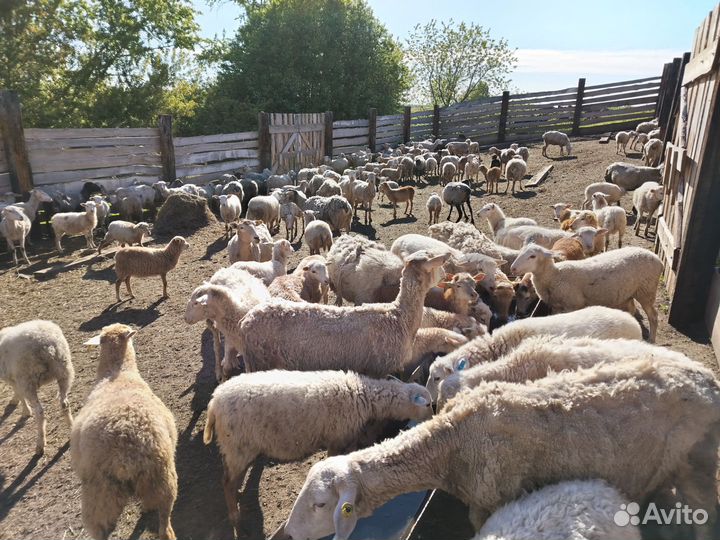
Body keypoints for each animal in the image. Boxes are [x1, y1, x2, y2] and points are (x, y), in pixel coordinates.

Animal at [0, 320, 73, 455]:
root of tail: (47, 345)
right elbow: (18, 393)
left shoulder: (15, 379)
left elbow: (19, 394)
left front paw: (25, 410)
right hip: (64, 370)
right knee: (64, 404)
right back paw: (72, 428)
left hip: (27, 380)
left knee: (40, 412)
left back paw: (40, 444)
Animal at [203, 370, 432, 531]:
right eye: (428, 403)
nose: (434, 414)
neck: (363, 395)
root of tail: (214, 402)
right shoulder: (336, 438)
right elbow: (332, 460)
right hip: (237, 446)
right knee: (227, 482)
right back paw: (235, 516)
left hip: (239, 446)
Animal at [240, 251, 449, 376]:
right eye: (434, 262)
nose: (447, 270)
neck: (400, 318)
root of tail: (245, 321)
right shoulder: (381, 369)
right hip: (260, 361)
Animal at [511, 244, 661, 341]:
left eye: (532, 256)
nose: (512, 268)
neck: (555, 275)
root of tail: (657, 258)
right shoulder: (556, 307)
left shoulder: (572, 305)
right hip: (630, 292)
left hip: (646, 291)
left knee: (653, 316)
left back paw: (651, 339)